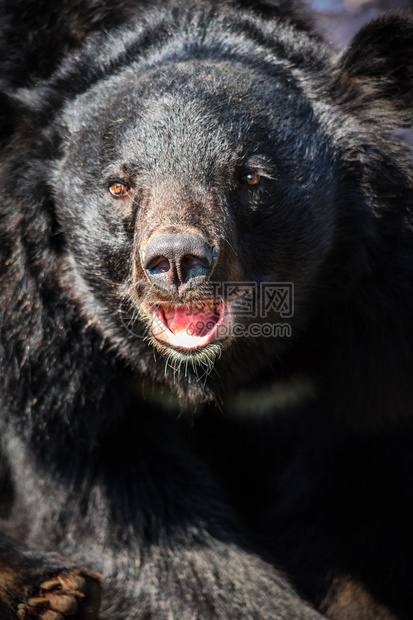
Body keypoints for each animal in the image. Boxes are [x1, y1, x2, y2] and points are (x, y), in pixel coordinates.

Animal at [0, 0, 412, 616]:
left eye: (250, 176)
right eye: (118, 185)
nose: (176, 260)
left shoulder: (369, 342)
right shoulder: (52, 375)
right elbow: (146, 538)